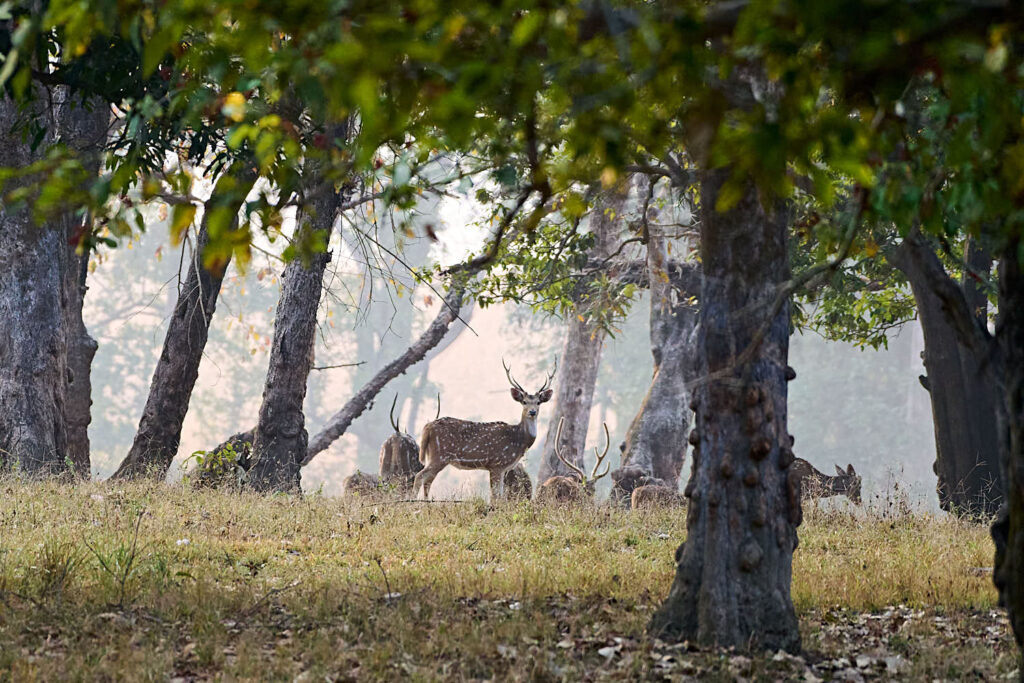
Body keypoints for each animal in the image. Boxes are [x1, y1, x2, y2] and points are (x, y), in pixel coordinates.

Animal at [412, 359, 555, 502]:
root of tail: (427, 427)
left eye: (538, 402)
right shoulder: (497, 464)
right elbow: (495, 496)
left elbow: (500, 496)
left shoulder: (502, 468)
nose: (532, 412)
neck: (519, 440)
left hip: (433, 456)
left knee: (427, 480)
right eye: (524, 402)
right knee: (419, 476)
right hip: (440, 455)